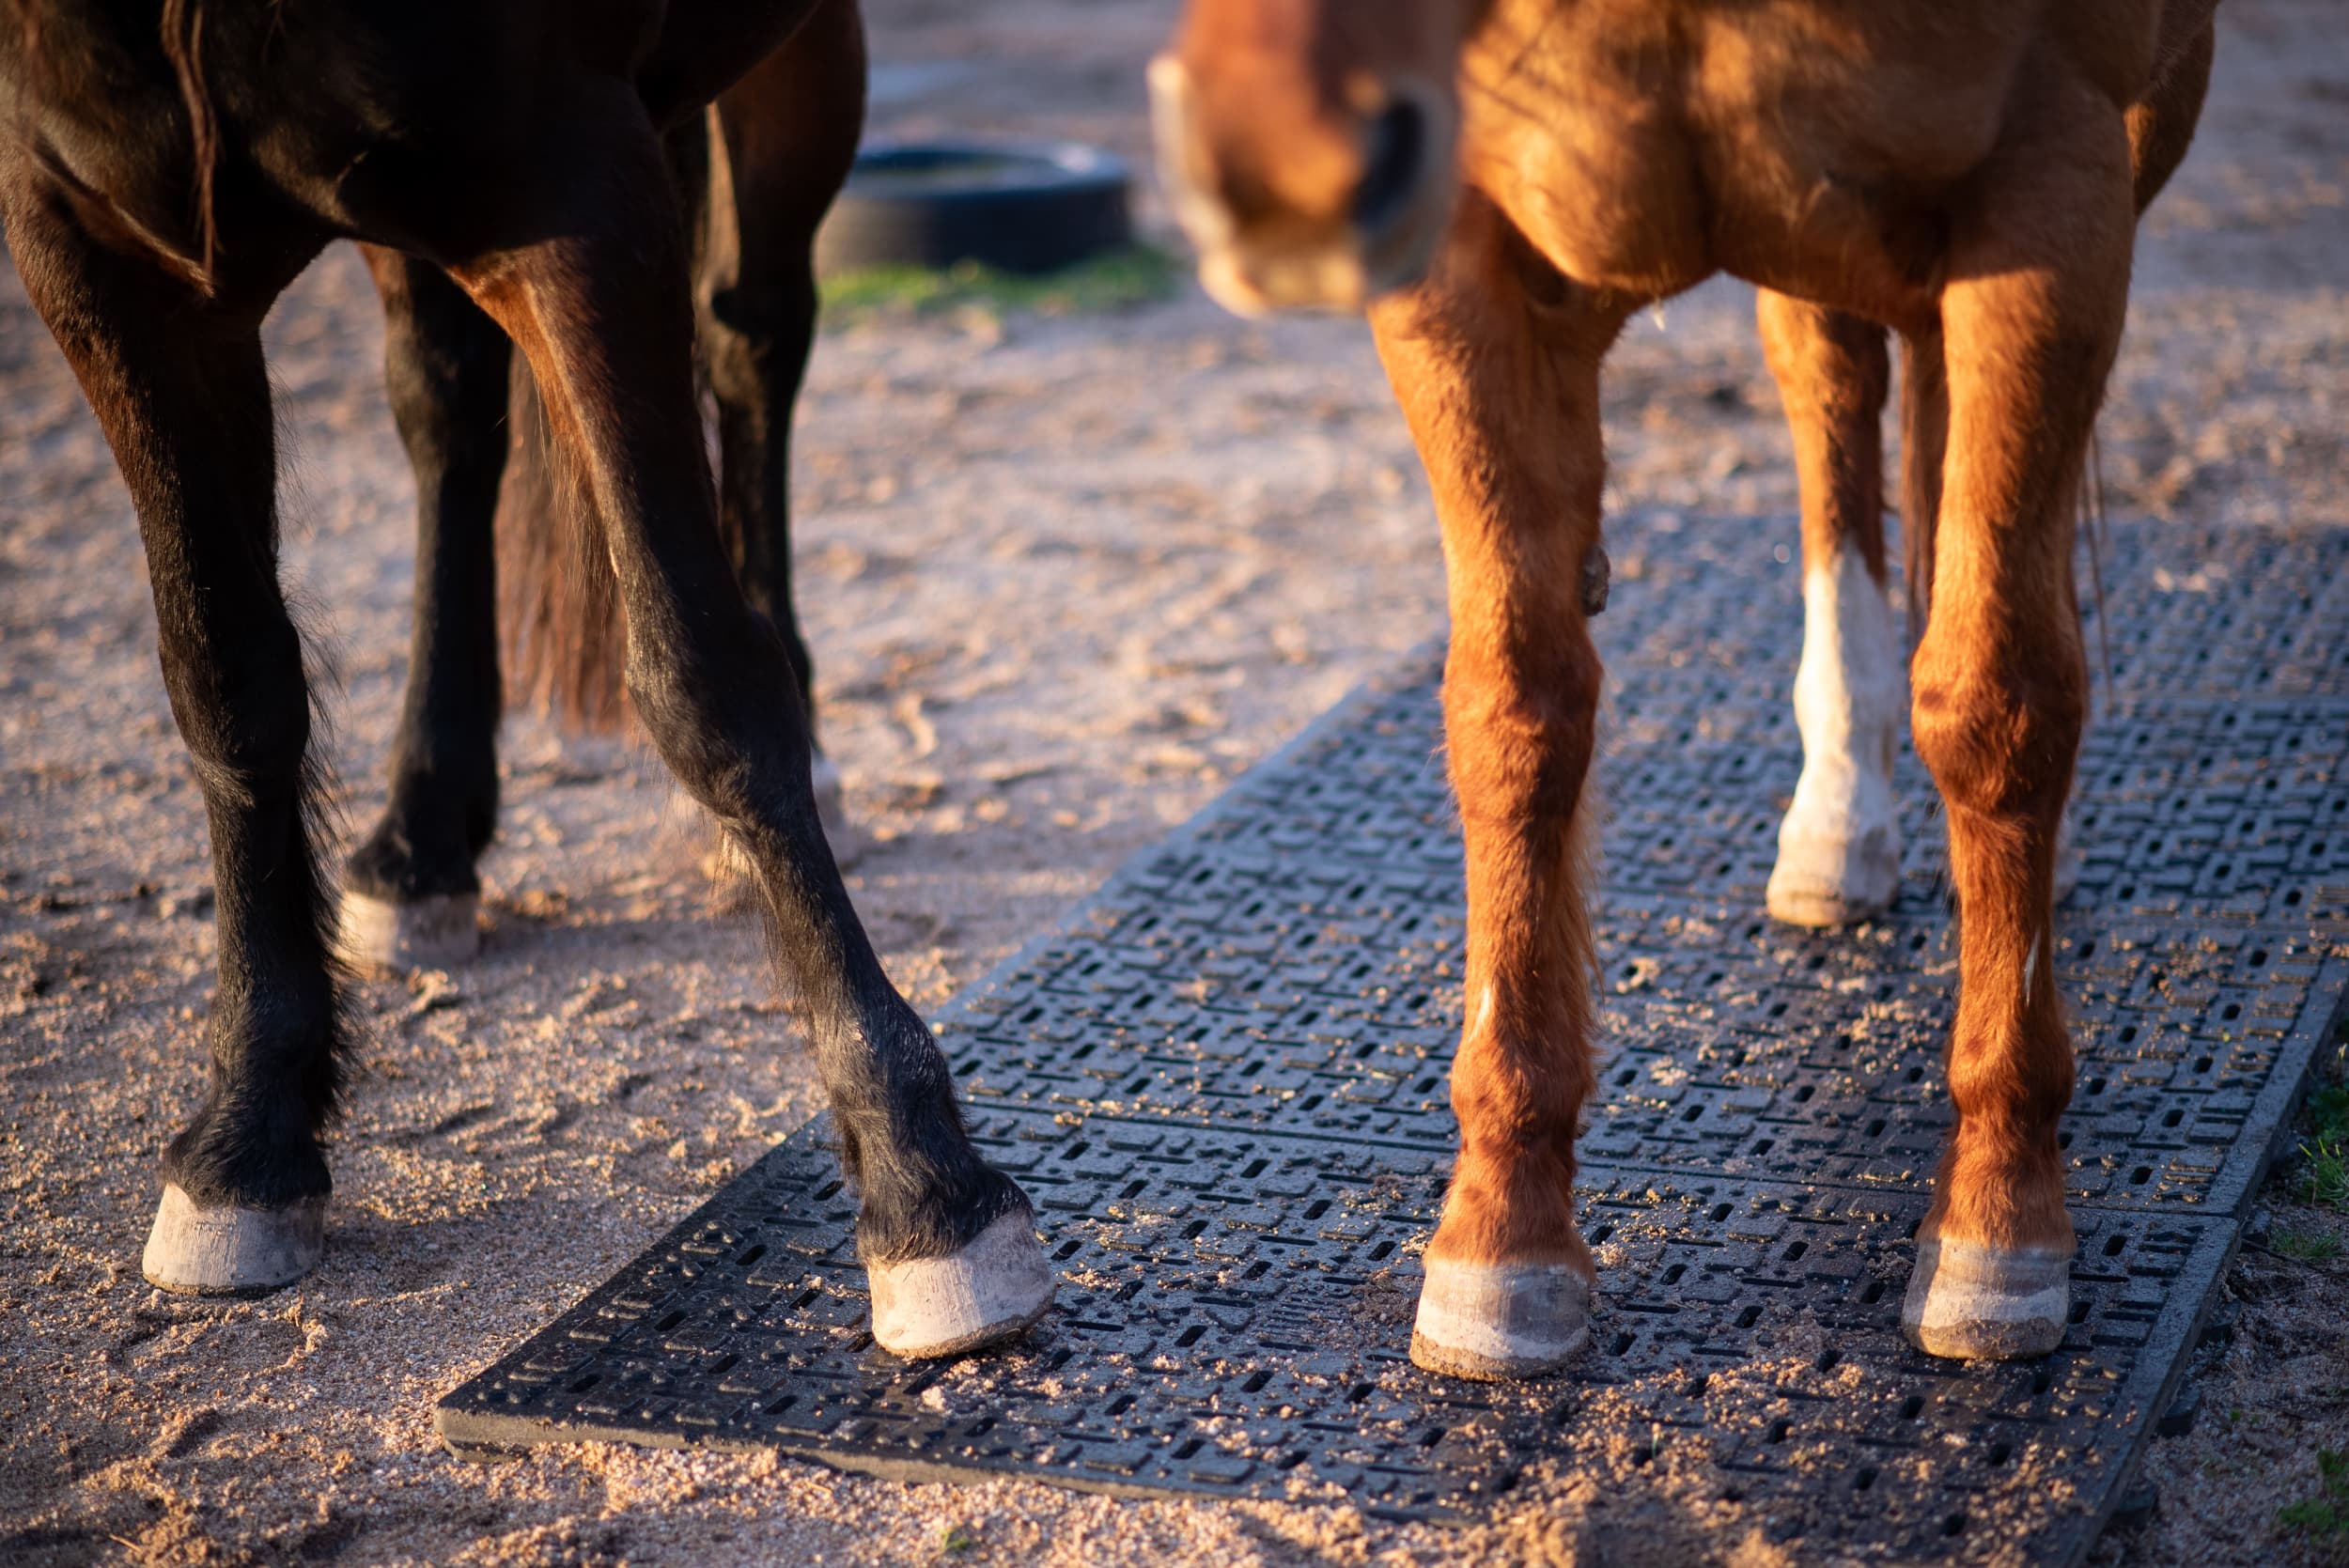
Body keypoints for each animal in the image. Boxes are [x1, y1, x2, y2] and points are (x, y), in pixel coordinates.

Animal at [0, 0, 1053, 1361]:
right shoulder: (100, 256)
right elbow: (226, 673)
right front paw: (249, 1132)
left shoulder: (575, 197)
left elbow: (700, 675)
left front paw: (928, 1189)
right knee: (448, 398)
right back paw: (423, 838)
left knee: (754, 337)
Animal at [1150, 0, 2218, 1376]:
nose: (1272, 165)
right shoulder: (1466, 249)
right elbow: (1514, 711)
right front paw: (1502, 1235)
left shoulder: (2056, 199)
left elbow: (1995, 697)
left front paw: (1999, 1217)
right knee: (1833, 383)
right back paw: (1840, 819)